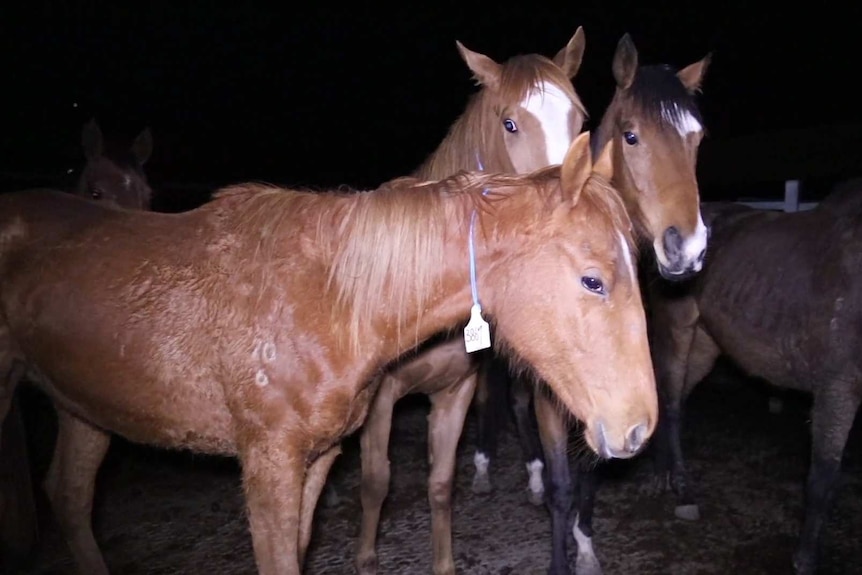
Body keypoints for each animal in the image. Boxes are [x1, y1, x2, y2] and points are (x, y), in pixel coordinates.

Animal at [354, 28, 592, 575]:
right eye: (509, 123)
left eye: (580, 120)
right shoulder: (381, 400)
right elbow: (376, 481)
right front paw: (366, 557)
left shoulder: (455, 388)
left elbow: (441, 486)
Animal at [472, 33, 708, 572]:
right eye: (631, 135)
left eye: (696, 138)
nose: (688, 247)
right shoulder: (557, 397)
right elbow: (564, 484)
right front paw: (562, 555)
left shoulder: (608, 390)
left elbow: (590, 476)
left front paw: (584, 542)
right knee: (493, 396)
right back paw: (485, 467)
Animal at [652, 189, 862, 575]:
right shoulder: (838, 385)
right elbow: (823, 475)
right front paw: (805, 558)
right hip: (677, 328)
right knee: (671, 404)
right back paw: (681, 490)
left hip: (705, 343)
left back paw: (663, 475)